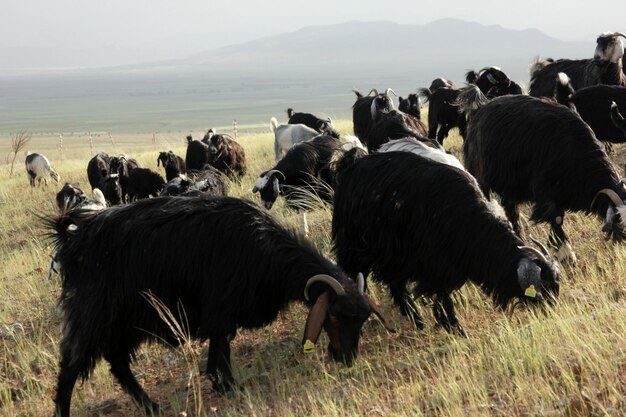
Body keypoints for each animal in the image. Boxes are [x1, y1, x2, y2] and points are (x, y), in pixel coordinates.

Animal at [48, 196, 390, 416]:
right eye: (335, 315)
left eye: (362, 320)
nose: (347, 358)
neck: (267, 253)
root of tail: (73, 240)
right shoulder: (221, 309)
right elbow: (220, 349)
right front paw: (228, 386)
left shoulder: (224, 314)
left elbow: (219, 348)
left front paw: (223, 384)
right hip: (94, 314)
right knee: (72, 365)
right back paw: (65, 411)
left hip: (124, 322)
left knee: (118, 363)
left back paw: (152, 407)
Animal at [330, 151, 560, 334]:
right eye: (545, 285)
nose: (552, 309)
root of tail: (349, 170)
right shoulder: (436, 268)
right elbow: (443, 299)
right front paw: (456, 328)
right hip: (353, 250)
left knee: (397, 287)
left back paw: (418, 321)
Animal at [458, 85, 624, 264]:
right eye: (620, 220)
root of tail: (480, 107)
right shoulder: (546, 193)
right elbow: (556, 219)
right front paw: (567, 255)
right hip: (479, 177)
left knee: (511, 211)